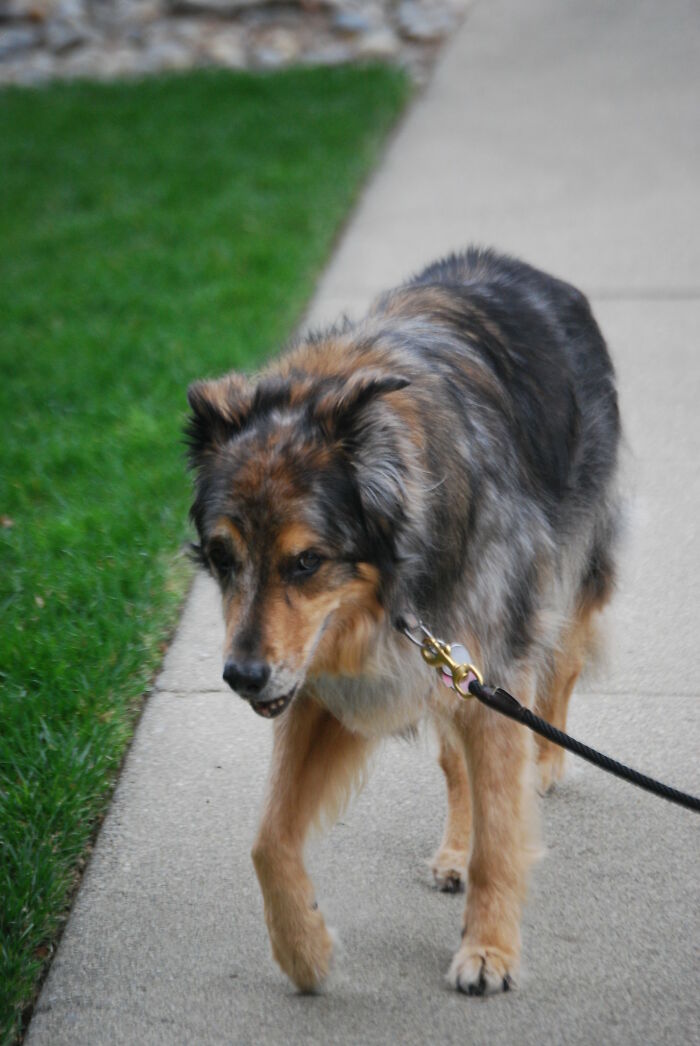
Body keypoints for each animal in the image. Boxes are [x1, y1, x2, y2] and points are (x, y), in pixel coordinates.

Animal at [184, 246, 615, 995]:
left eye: (307, 561)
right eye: (221, 556)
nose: (241, 676)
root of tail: (515, 264)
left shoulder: (493, 663)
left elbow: (502, 838)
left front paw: (489, 950)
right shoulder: (327, 685)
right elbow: (268, 839)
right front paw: (304, 950)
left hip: (562, 576)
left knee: (560, 668)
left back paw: (546, 761)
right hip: (450, 669)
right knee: (454, 761)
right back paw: (454, 848)